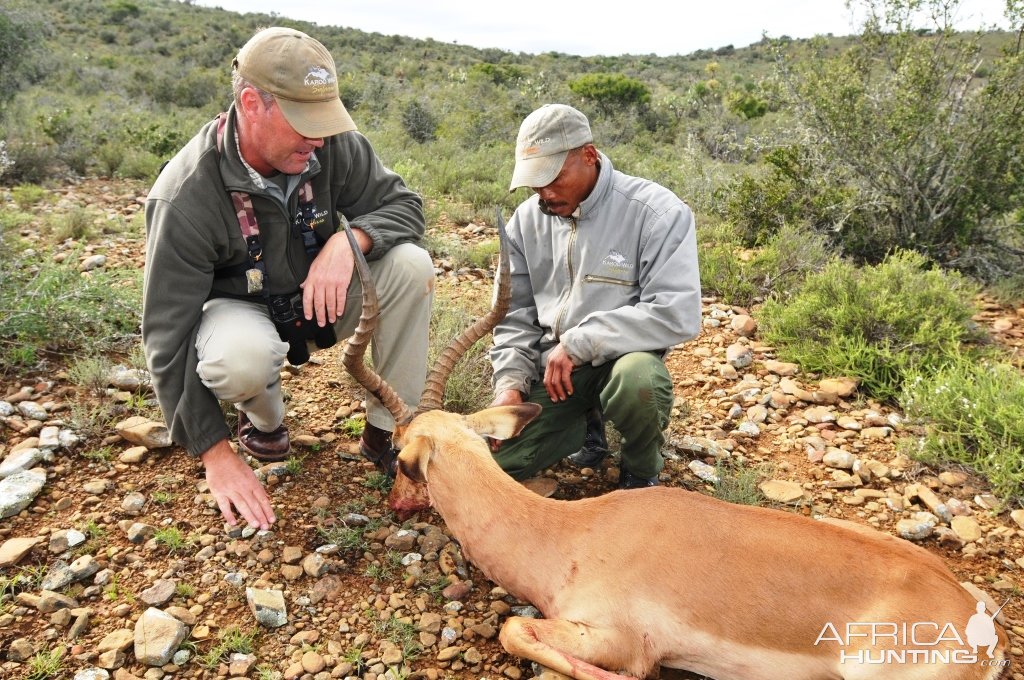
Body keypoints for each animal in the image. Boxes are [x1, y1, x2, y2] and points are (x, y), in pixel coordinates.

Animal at [337, 224, 1007, 680]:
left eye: (401, 455)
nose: (396, 504)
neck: (570, 533)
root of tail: (975, 619)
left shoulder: (614, 636)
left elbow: (516, 630)